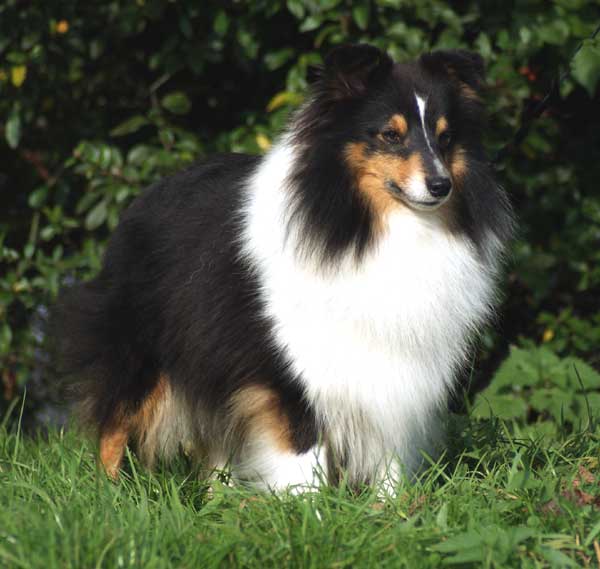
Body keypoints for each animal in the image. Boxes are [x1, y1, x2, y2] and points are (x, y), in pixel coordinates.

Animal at [55, 44, 510, 490]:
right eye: (390, 135)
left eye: (445, 137)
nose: (440, 186)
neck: (367, 225)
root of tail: (146, 195)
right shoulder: (290, 369)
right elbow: (302, 457)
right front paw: (309, 511)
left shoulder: (391, 372)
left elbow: (389, 458)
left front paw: (392, 508)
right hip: (140, 350)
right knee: (114, 426)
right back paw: (110, 496)